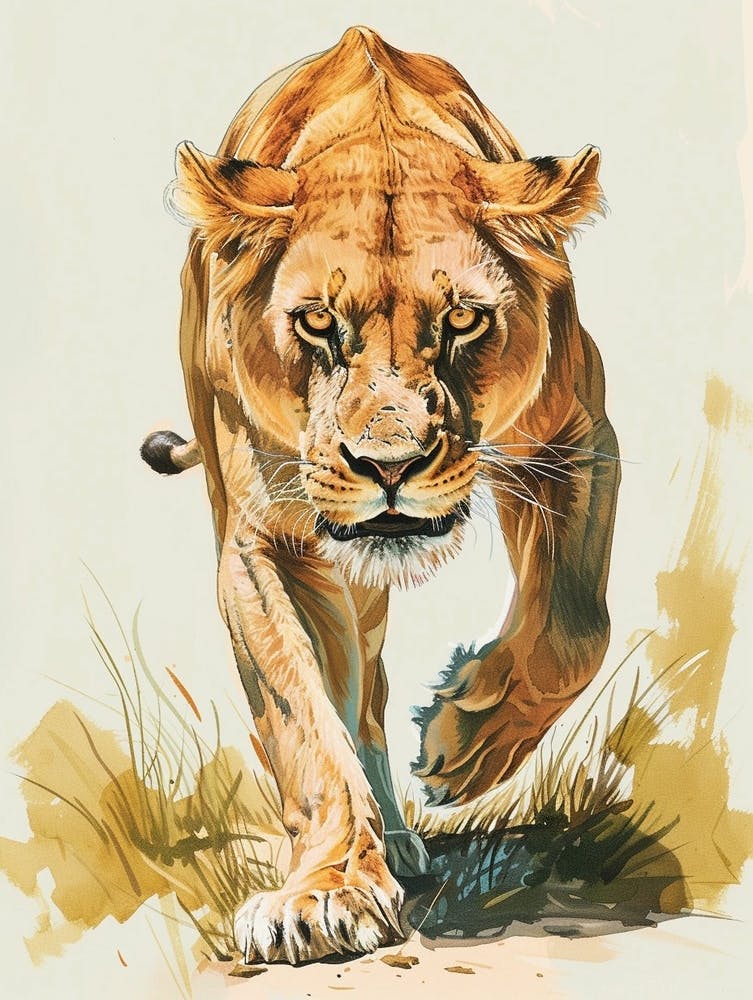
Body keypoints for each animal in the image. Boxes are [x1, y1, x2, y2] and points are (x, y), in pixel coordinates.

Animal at [141, 27, 619, 964]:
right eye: (317, 323)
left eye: (464, 319)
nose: (388, 467)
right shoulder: (262, 541)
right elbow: (303, 719)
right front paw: (325, 894)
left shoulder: (575, 439)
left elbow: (572, 628)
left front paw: (465, 747)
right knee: (352, 699)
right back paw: (383, 846)